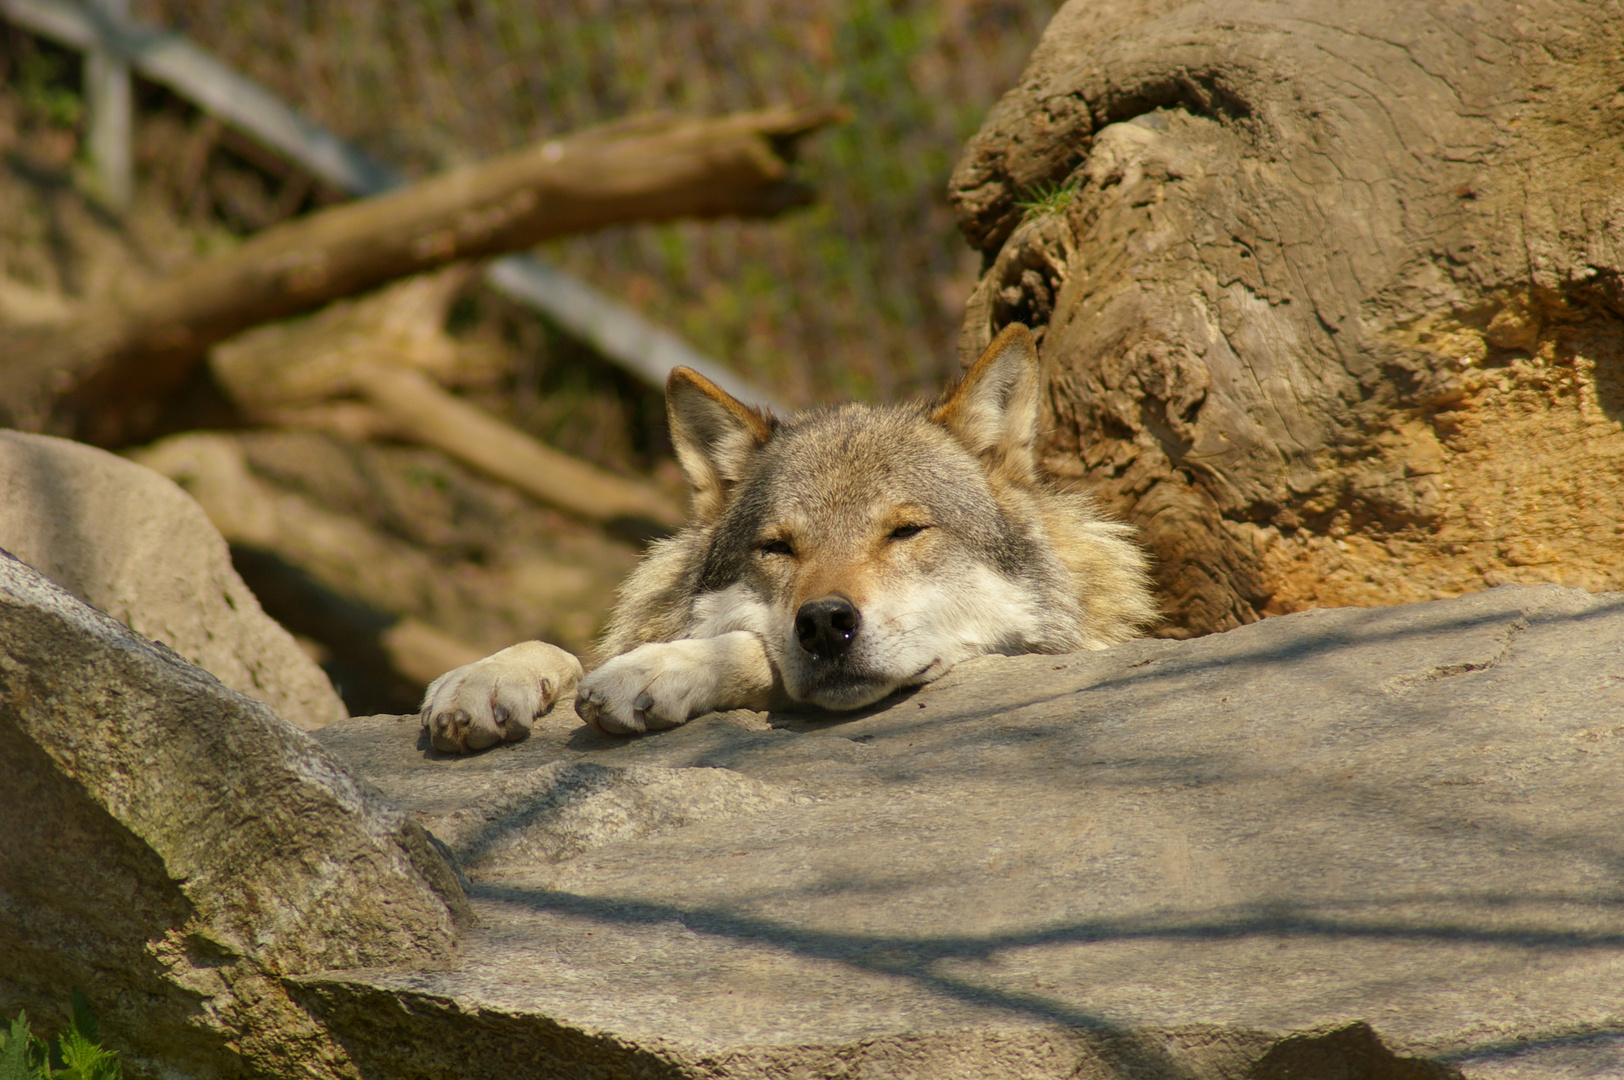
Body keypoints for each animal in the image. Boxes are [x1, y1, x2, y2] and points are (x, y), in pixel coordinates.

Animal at [418, 324, 1156, 753]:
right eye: (777, 548)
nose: (825, 623)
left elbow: (749, 649)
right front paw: (487, 677)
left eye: (905, 531)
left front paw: (660, 668)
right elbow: (563, 648)